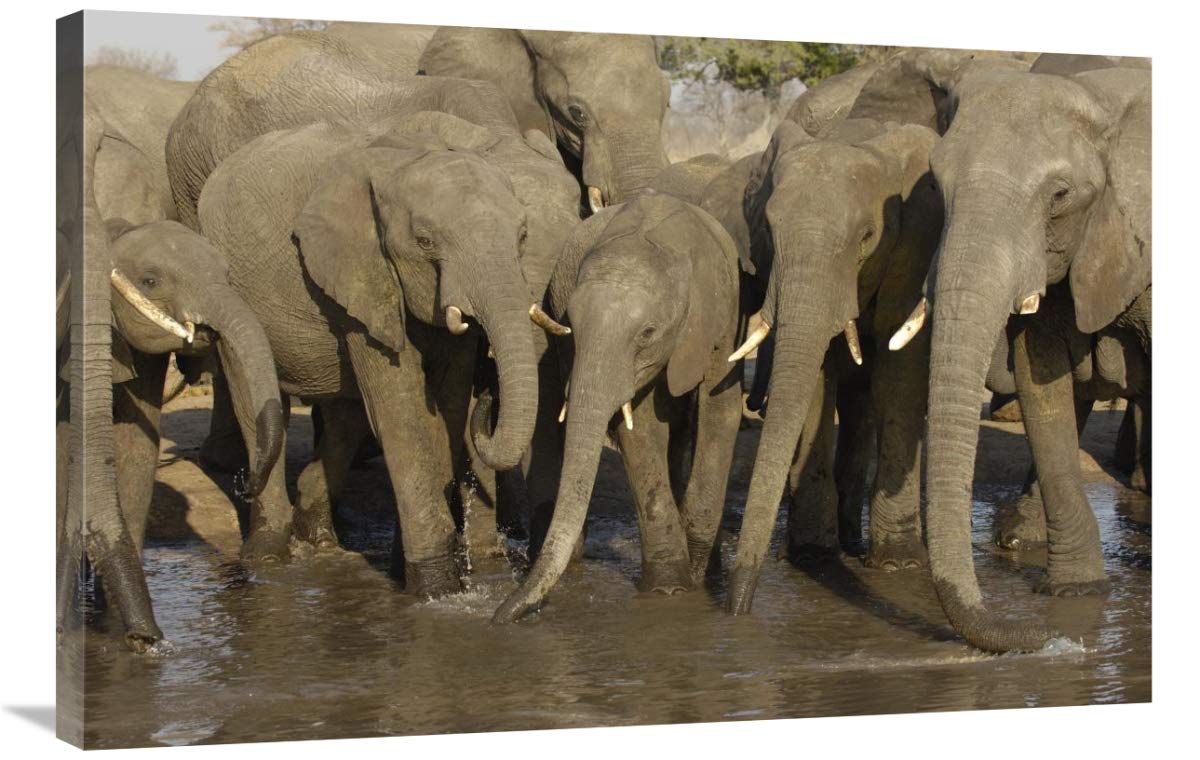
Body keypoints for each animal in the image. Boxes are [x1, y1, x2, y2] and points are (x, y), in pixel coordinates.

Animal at [195, 112, 572, 594]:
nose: (490, 396)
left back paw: (316, 536)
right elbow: (402, 412)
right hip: (229, 285)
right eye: (425, 241)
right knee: (255, 397)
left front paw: (411, 572)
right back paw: (269, 557)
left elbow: (445, 408)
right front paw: (437, 590)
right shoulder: (361, 274)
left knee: (345, 414)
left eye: (522, 236)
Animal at [492, 193, 744, 623]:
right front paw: (670, 588)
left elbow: (719, 410)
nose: (496, 617)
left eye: (647, 333)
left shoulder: (721, 314)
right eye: (570, 327)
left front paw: (692, 581)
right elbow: (639, 431)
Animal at [887, 61, 1152, 652]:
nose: (1043, 637)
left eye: (1060, 195)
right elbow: (1041, 378)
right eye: (936, 183)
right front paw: (1075, 594)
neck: (1103, 96)